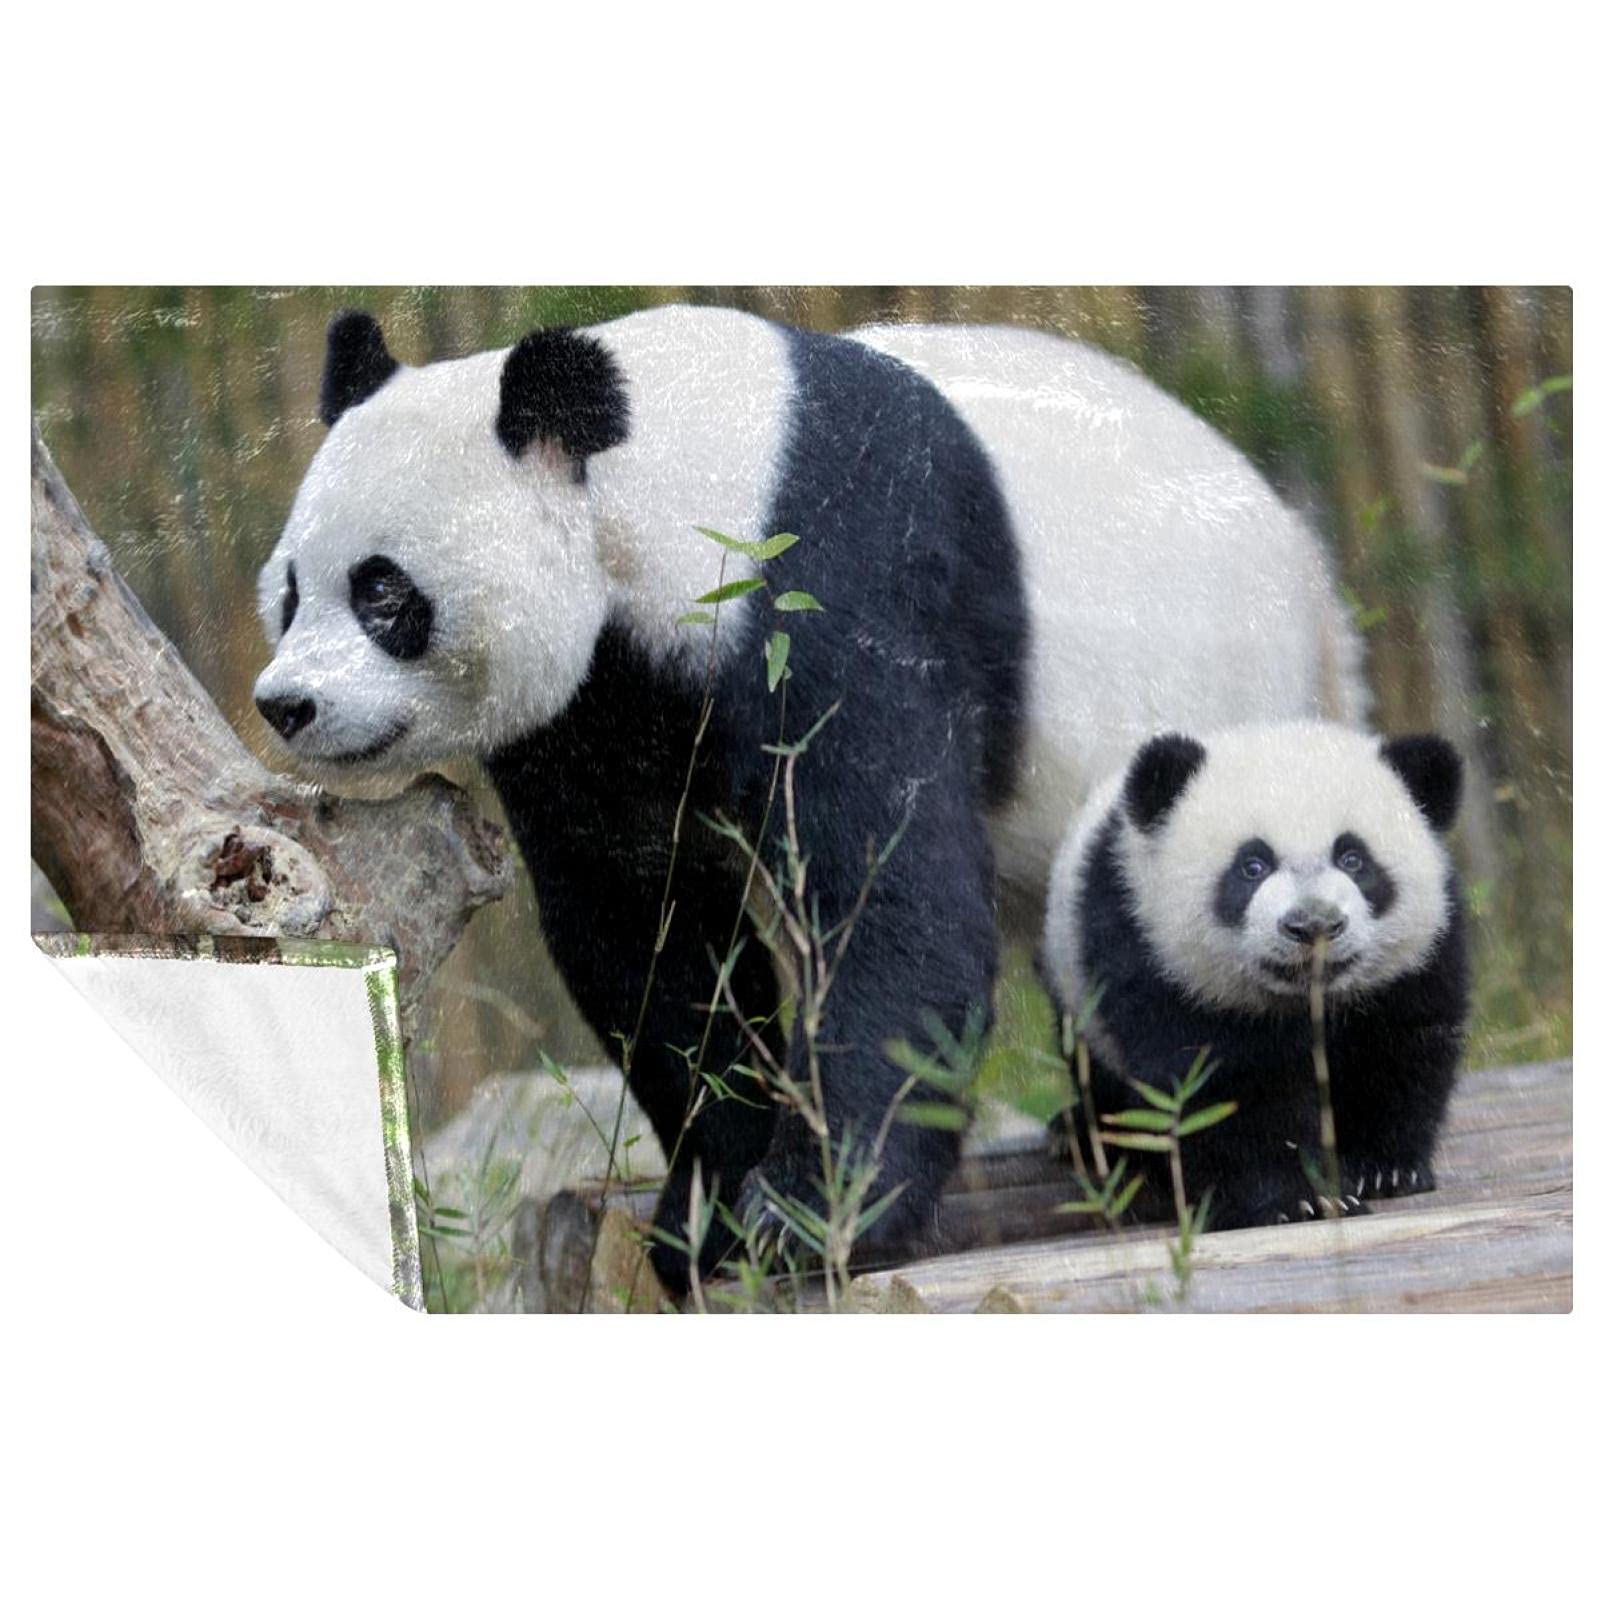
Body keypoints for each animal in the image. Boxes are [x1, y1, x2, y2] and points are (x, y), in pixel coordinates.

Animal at [252, 302, 1364, 1292]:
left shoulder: (829, 581)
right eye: (291, 590)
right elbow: (644, 926)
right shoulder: (600, 703)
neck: (671, 473)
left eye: (383, 590)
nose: (285, 704)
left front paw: (809, 1214)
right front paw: (706, 1214)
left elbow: (888, 896)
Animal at [1040, 721, 1468, 1229]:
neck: (1308, 1000)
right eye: (1253, 866)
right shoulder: (1153, 955)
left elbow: (1399, 1052)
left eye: (1353, 858)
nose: (1313, 924)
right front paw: (1298, 1198)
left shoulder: (1414, 965)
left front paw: (1381, 1169)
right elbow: (1222, 1086)